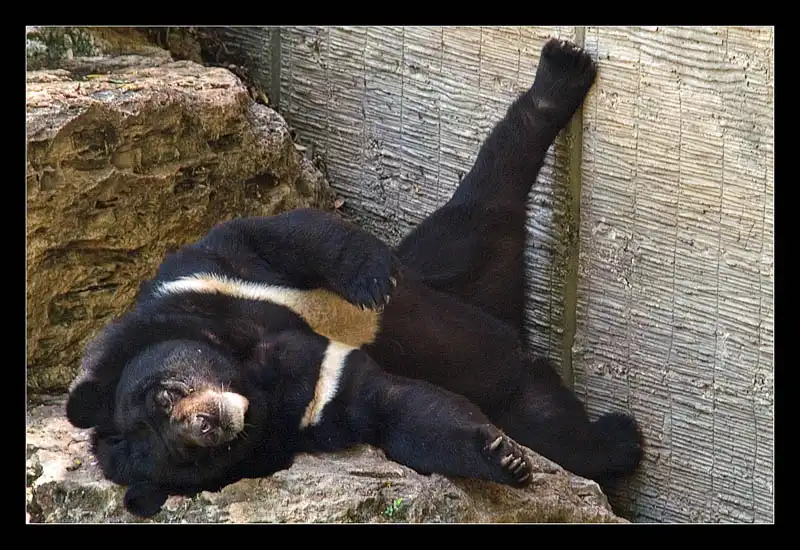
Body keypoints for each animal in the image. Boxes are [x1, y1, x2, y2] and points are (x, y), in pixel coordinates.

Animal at [65, 38, 643, 518]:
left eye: (164, 397)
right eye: (180, 454)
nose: (206, 426)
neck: (246, 367)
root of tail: (509, 323)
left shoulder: (202, 276)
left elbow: (290, 233)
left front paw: (371, 283)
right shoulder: (305, 408)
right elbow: (388, 408)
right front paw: (506, 459)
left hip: (443, 269)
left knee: (481, 201)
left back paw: (562, 67)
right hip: (494, 342)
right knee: (546, 417)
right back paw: (619, 439)